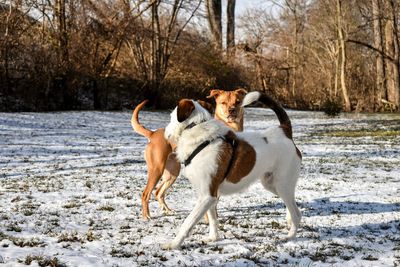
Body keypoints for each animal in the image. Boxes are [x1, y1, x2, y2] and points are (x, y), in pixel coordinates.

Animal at [131, 89, 247, 221]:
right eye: (223, 103)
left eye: (238, 102)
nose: (232, 111)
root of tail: (153, 133)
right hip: (157, 169)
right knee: (146, 193)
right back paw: (147, 216)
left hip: (172, 173)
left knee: (158, 192)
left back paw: (167, 210)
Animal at [161, 92, 302, 251]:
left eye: (171, 117)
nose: (165, 133)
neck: (196, 130)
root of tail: (284, 131)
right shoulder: (210, 195)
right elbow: (213, 218)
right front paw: (213, 238)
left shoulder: (207, 196)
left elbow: (188, 222)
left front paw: (174, 244)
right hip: (271, 184)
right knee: (292, 205)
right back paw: (289, 221)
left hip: (282, 184)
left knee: (296, 213)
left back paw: (290, 236)